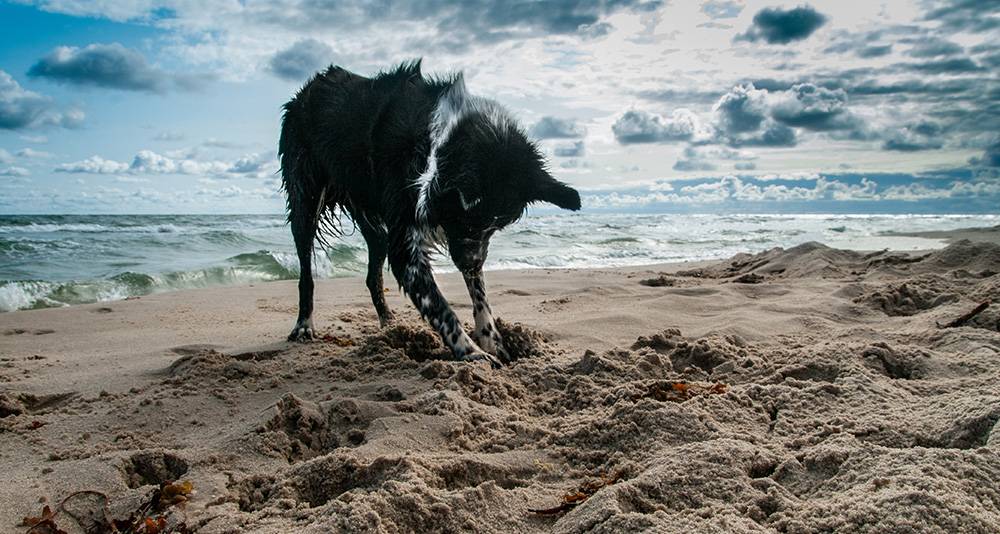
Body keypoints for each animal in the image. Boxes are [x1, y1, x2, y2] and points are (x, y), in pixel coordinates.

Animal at [278, 60, 584, 366]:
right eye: (466, 221)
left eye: (498, 226)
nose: (472, 264)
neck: (437, 143)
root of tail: (310, 86)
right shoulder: (409, 246)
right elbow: (441, 308)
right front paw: (473, 353)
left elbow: (480, 294)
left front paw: (491, 338)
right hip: (305, 198)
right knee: (306, 272)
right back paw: (303, 325)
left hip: (368, 212)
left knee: (374, 259)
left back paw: (388, 322)